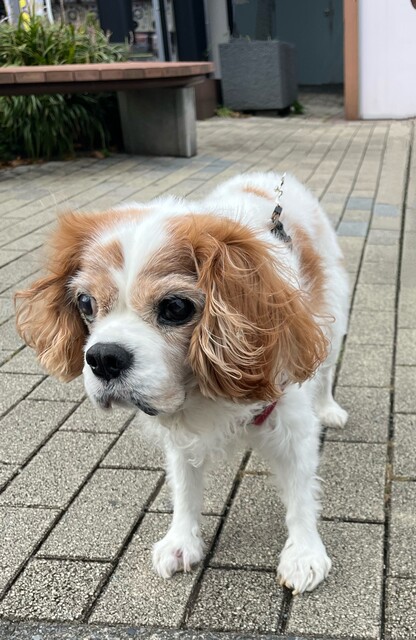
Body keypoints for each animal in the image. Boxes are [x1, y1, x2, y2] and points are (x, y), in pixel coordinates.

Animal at [15, 172, 349, 594]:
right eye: (86, 303)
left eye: (175, 308)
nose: (103, 357)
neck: (199, 390)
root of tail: (265, 178)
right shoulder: (177, 431)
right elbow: (184, 488)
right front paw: (181, 541)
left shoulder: (291, 424)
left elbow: (301, 492)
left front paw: (304, 553)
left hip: (333, 317)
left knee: (326, 372)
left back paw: (329, 409)